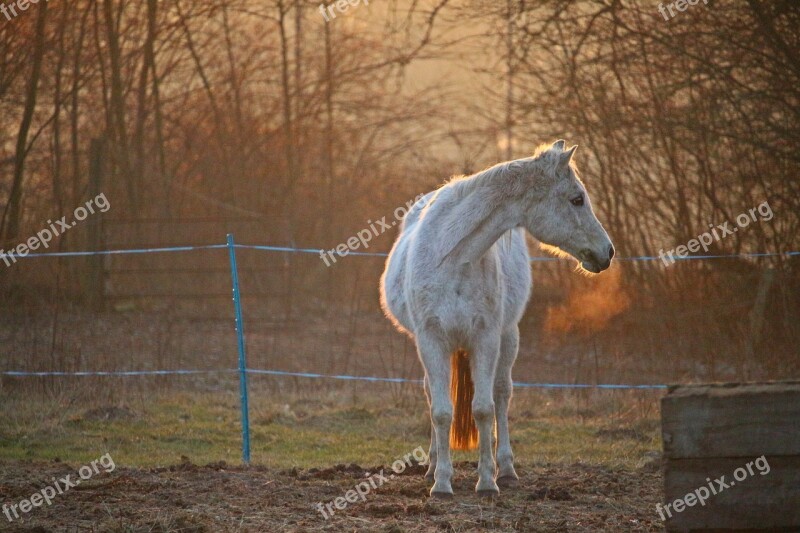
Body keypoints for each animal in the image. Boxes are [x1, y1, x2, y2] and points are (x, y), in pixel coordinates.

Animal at [380, 139, 612, 496]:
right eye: (577, 199)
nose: (607, 252)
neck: (454, 258)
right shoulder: (431, 340)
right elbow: (441, 411)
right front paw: (441, 483)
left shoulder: (486, 338)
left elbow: (484, 409)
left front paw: (487, 481)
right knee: (433, 394)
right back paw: (432, 465)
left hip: (508, 337)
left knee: (502, 395)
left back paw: (506, 469)